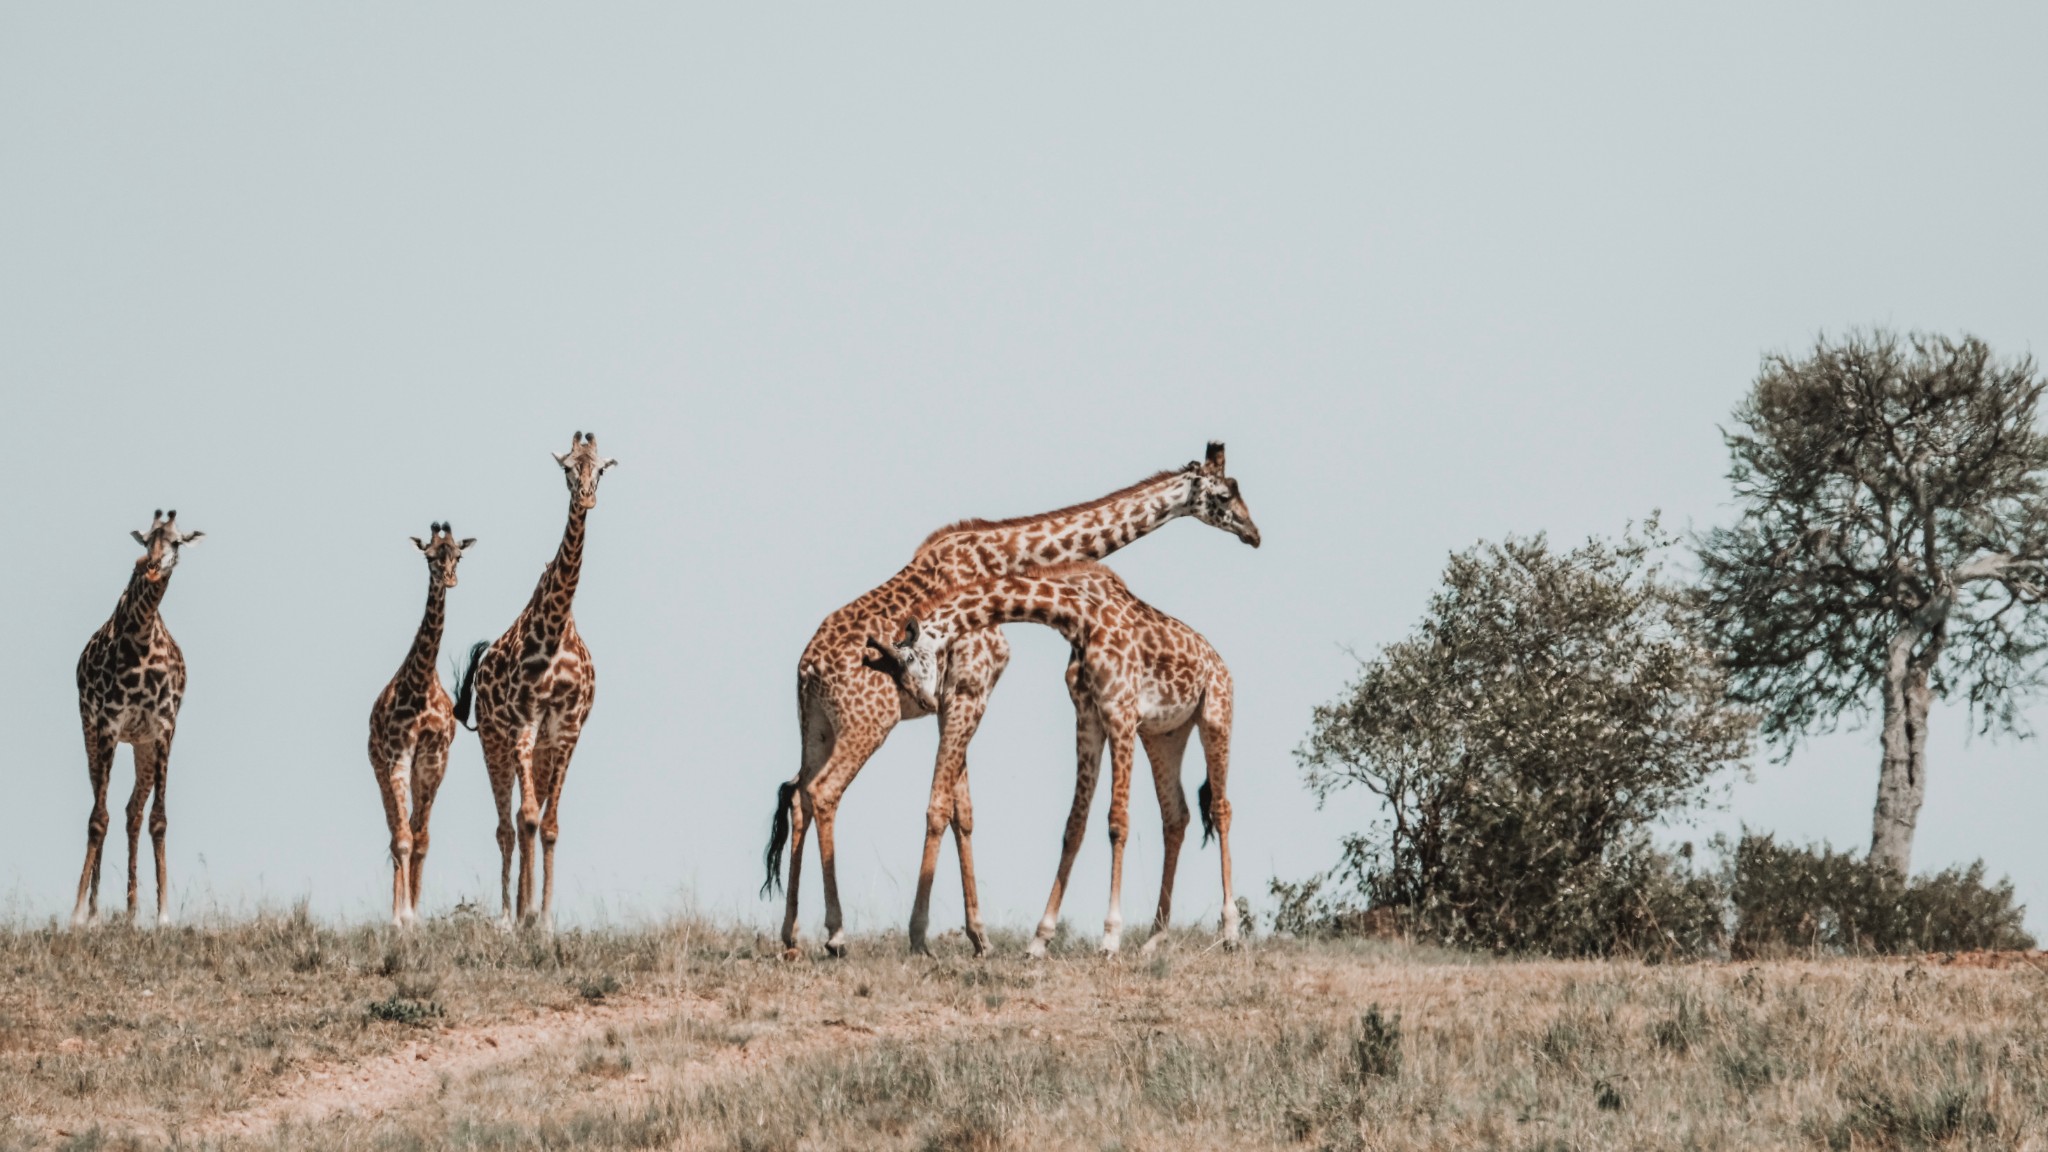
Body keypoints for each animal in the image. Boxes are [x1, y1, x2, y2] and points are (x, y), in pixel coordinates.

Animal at [72, 510, 203, 922]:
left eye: (176, 541)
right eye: (146, 540)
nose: (152, 567)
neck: (142, 634)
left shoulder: (163, 730)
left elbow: (157, 819)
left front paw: (162, 916)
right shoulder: (108, 724)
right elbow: (97, 819)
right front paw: (80, 914)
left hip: (141, 744)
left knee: (133, 811)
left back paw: (131, 912)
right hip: (90, 732)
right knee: (103, 806)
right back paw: (98, 912)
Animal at [368, 520, 475, 922]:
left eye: (457, 555)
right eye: (429, 557)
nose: (450, 580)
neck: (421, 682)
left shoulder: (434, 760)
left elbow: (422, 839)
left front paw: (416, 916)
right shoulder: (398, 757)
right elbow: (402, 838)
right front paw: (403, 918)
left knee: (413, 830)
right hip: (379, 765)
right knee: (394, 831)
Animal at [460, 428, 618, 922]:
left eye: (601, 468)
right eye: (567, 467)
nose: (586, 498)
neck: (553, 630)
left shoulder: (565, 731)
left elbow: (548, 824)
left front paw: (545, 920)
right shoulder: (523, 724)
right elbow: (527, 818)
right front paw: (524, 915)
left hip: (541, 750)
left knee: (522, 819)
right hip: (493, 739)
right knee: (506, 825)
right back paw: (508, 917)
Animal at [876, 561, 1236, 955]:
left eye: (910, 659)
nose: (926, 702)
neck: (1080, 616)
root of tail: (1218, 661)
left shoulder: (1121, 712)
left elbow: (1117, 822)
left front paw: (1110, 936)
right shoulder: (1089, 717)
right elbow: (1074, 826)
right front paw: (1040, 939)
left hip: (1215, 716)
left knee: (1220, 809)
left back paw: (1231, 930)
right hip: (1163, 736)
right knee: (1176, 816)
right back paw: (1155, 938)